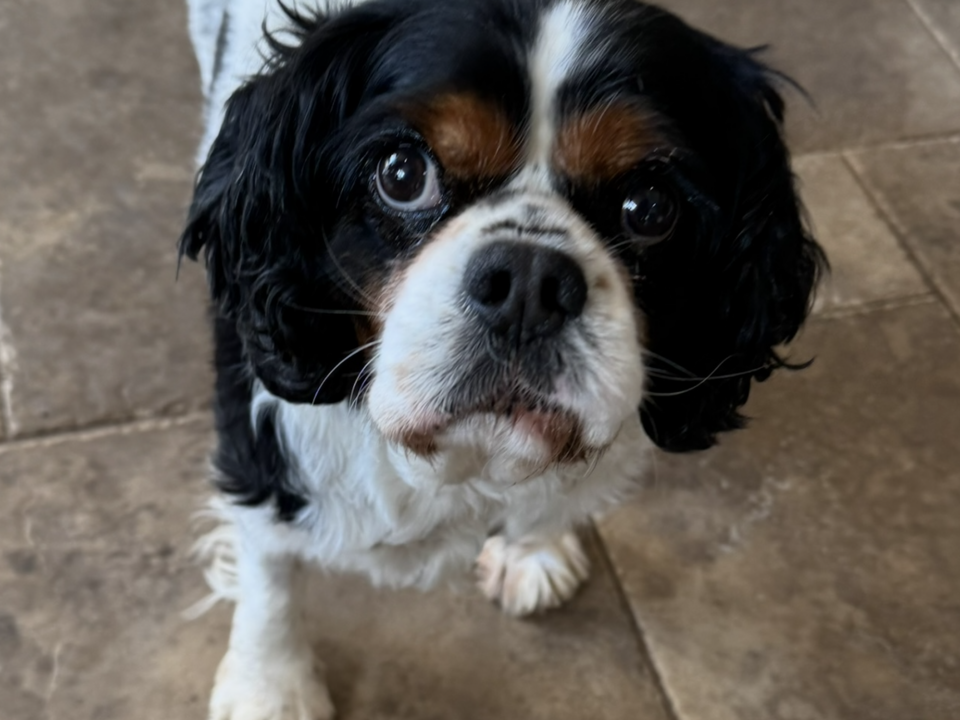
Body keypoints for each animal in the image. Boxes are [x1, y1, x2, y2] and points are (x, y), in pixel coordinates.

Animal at [178, 2, 824, 716]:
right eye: (401, 174)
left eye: (651, 207)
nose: (528, 282)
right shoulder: (260, 446)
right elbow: (269, 571)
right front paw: (271, 685)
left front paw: (534, 549)